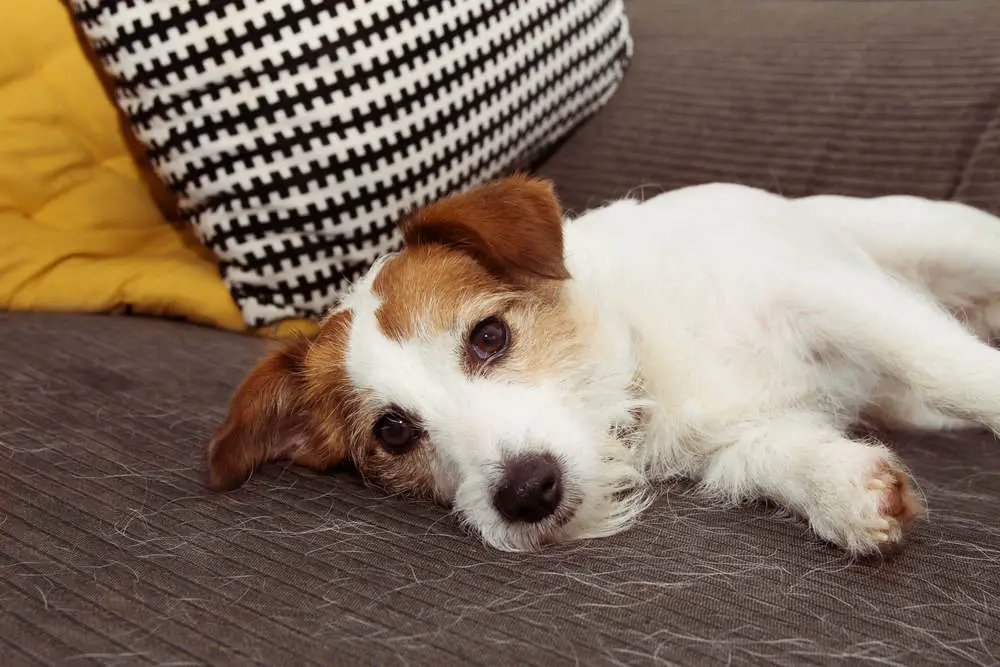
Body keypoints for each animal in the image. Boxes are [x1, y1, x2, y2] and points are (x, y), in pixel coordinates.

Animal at [205, 177, 1000, 560]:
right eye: (394, 432)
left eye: (489, 336)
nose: (527, 491)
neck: (640, 371)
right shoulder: (742, 441)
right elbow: (781, 457)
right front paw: (849, 492)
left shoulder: (833, 296)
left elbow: (945, 364)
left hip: (941, 242)